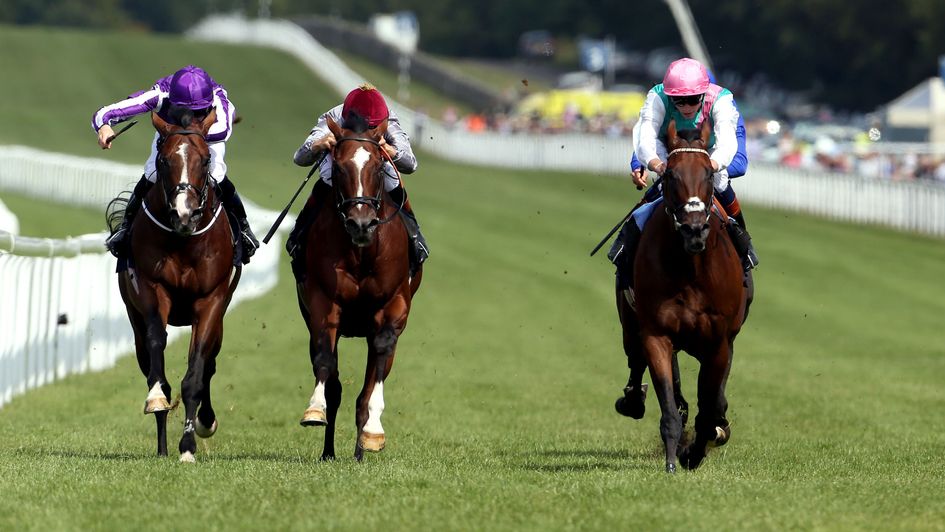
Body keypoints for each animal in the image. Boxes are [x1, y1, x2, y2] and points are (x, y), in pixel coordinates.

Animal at [117, 111, 240, 462]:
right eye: (164, 159)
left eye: (206, 158)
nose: (184, 214)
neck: (184, 240)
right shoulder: (151, 288)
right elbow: (157, 348)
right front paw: (157, 397)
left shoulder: (211, 300)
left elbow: (196, 375)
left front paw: (189, 445)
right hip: (133, 317)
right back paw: (161, 447)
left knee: (210, 362)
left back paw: (205, 421)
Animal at [296, 114, 420, 460]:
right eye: (339, 168)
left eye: (378, 166)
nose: (361, 224)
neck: (362, 252)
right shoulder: (324, 302)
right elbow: (325, 362)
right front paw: (315, 410)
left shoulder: (393, 305)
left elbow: (376, 367)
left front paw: (373, 433)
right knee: (334, 384)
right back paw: (329, 452)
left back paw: (361, 448)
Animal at [616, 120, 756, 474]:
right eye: (670, 175)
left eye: (708, 174)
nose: (694, 229)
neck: (691, 269)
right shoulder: (657, 333)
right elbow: (669, 401)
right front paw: (673, 458)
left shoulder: (720, 342)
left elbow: (711, 403)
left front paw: (699, 447)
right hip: (630, 323)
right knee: (637, 361)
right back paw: (634, 400)